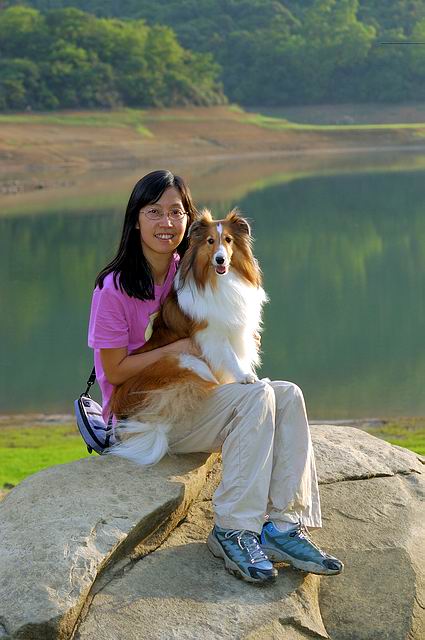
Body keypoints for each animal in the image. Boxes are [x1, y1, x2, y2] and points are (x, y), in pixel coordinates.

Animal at [105, 208, 268, 466]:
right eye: (210, 241)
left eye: (229, 240)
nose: (220, 260)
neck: (219, 280)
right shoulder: (213, 334)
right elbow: (231, 357)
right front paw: (245, 377)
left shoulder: (238, 330)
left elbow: (240, 355)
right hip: (185, 361)